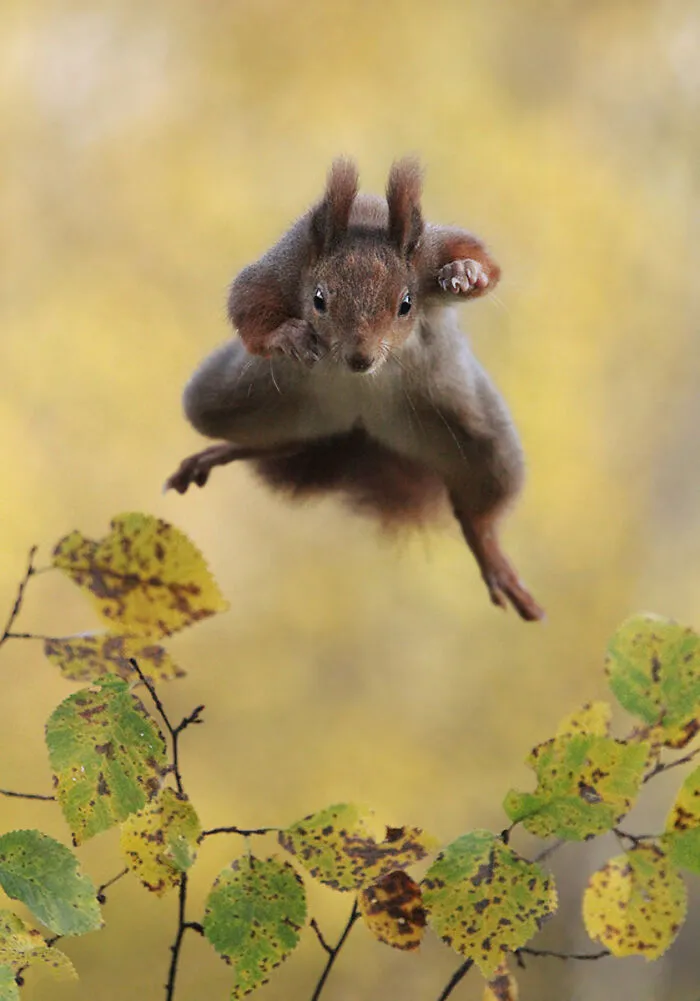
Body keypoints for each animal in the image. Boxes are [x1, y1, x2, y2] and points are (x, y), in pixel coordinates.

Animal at [165, 157, 544, 622]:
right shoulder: (284, 267)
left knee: (478, 511)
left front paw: (465, 273)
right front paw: (287, 336)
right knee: (278, 442)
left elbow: (480, 259)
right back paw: (221, 452)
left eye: (406, 304)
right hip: (229, 401)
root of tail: (358, 427)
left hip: (479, 437)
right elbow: (247, 304)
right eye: (318, 299)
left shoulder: (431, 251)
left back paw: (490, 554)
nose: (360, 360)